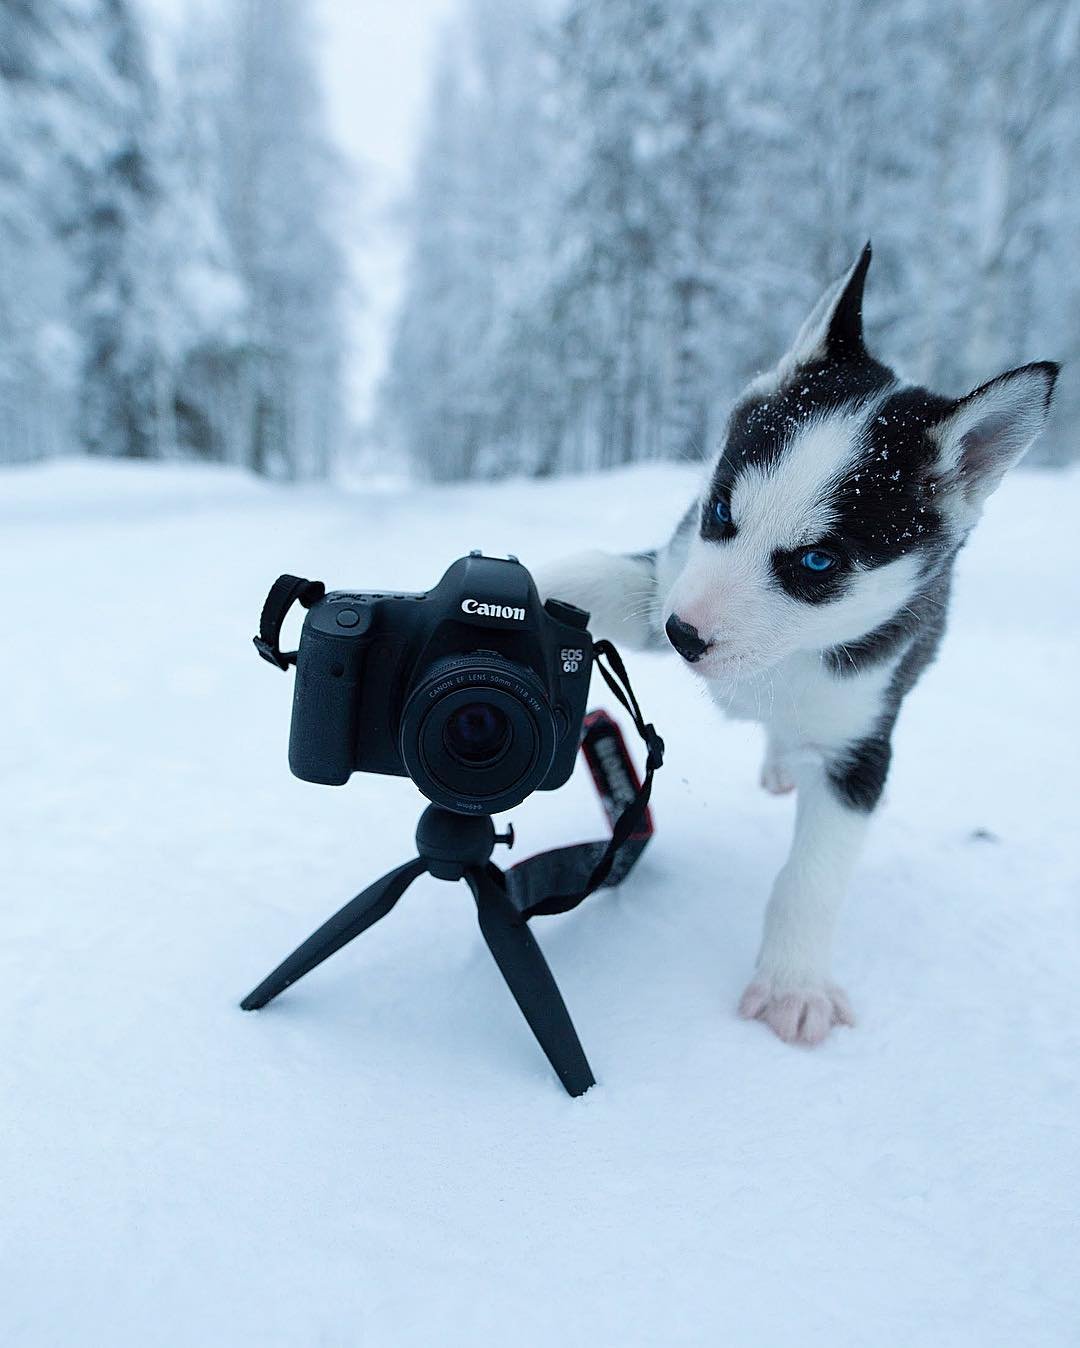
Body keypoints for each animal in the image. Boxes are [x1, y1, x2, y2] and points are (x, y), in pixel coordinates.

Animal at [539, 248, 1051, 1046]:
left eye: (817, 562)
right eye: (721, 511)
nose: (683, 637)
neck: (789, 656)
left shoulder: (859, 745)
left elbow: (812, 875)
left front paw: (792, 984)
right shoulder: (667, 576)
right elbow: (592, 577)